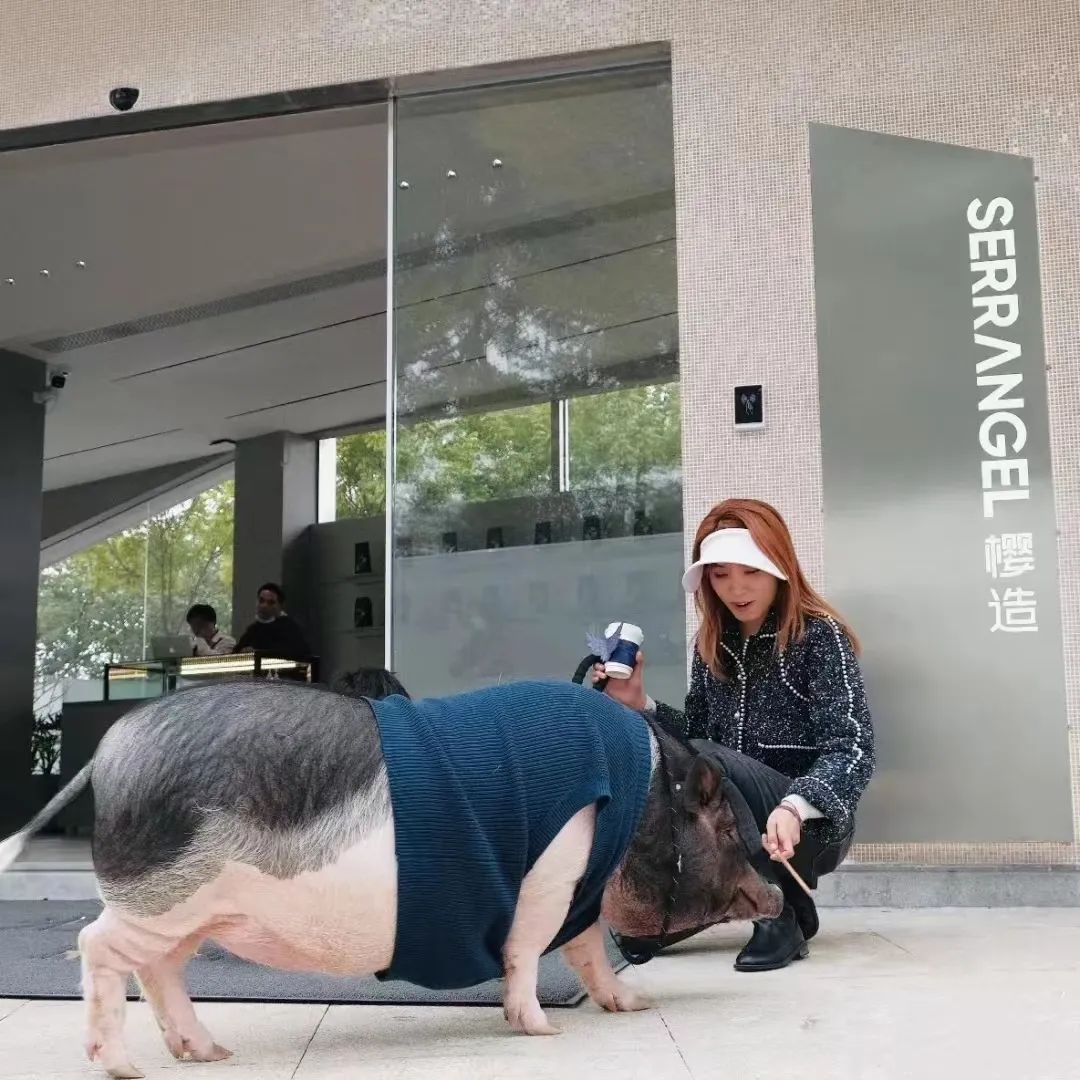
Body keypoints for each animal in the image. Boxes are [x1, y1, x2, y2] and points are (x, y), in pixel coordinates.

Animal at [0, 678, 781, 1079]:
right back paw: (121, 1067)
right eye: (724, 825)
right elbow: (530, 950)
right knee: (97, 945)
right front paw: (541, 1030)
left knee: (160, 971)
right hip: (161, 895)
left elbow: (589, 951)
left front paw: (633, 1006)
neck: (639, 795)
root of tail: (110, 749)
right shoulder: (552, 874)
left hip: (189, 912)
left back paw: (209, 1053)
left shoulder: (580, 898)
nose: (775, 890)